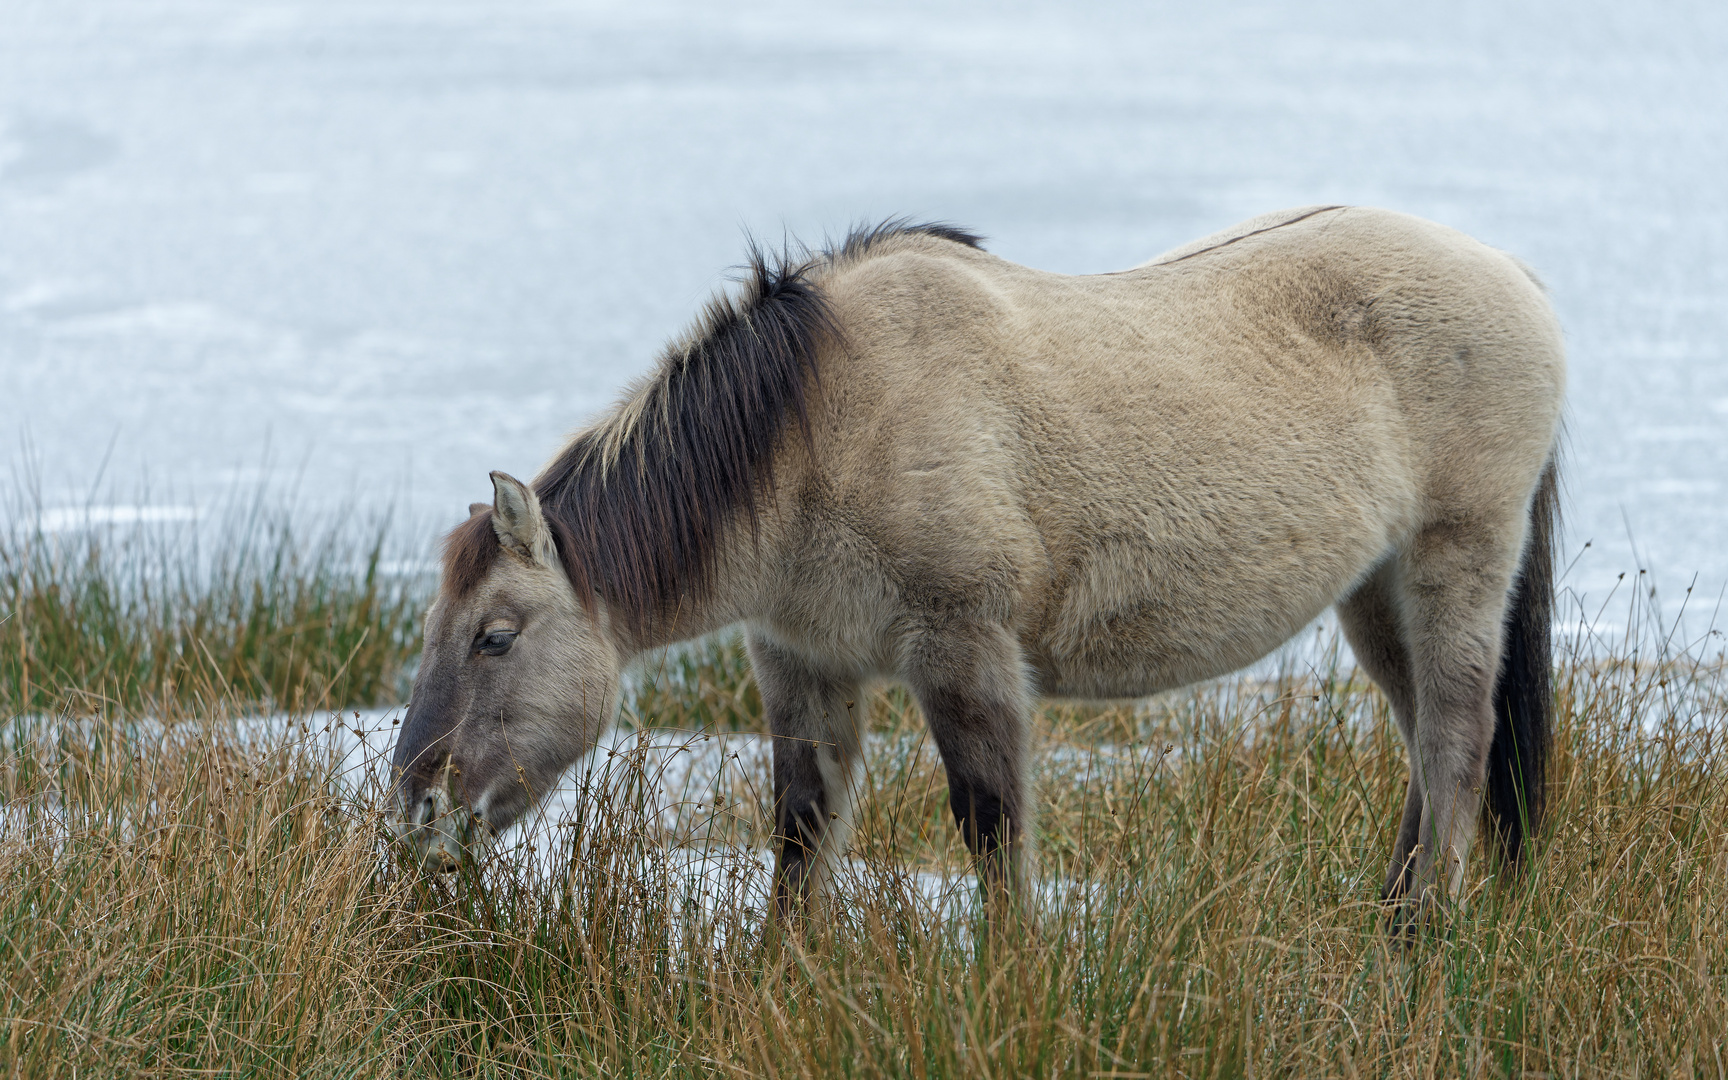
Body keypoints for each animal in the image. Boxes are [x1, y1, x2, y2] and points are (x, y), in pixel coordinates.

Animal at [395, 206, 1569, 919]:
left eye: (495, 637)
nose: (414, 815)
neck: (822, 428)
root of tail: (1515, 275)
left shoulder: (964, 647)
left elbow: (993, 827)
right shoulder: (802, 660)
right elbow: (801, 832)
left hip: (1457, 558)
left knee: (1457, 740)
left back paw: (1418, 937)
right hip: (1374, 593)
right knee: (1424, 742)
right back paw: (1391, 916)